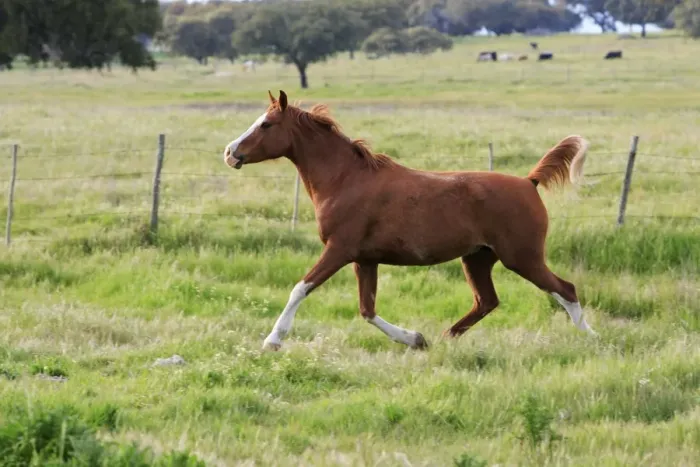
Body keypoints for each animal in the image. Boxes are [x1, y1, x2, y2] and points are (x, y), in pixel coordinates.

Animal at [222, 90, 598, 351]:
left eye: (266, 124)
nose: (230, 152)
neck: (345, 179)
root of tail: (528, 182)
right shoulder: (365, 259)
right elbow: (367, 309)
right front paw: (416, 339)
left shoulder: (339, 250)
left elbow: (301, 288)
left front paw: (272, 340)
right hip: (477, 258)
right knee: (487, 301)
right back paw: (444, 339)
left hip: (522, 257)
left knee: (565, 289)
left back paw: (592, 338)